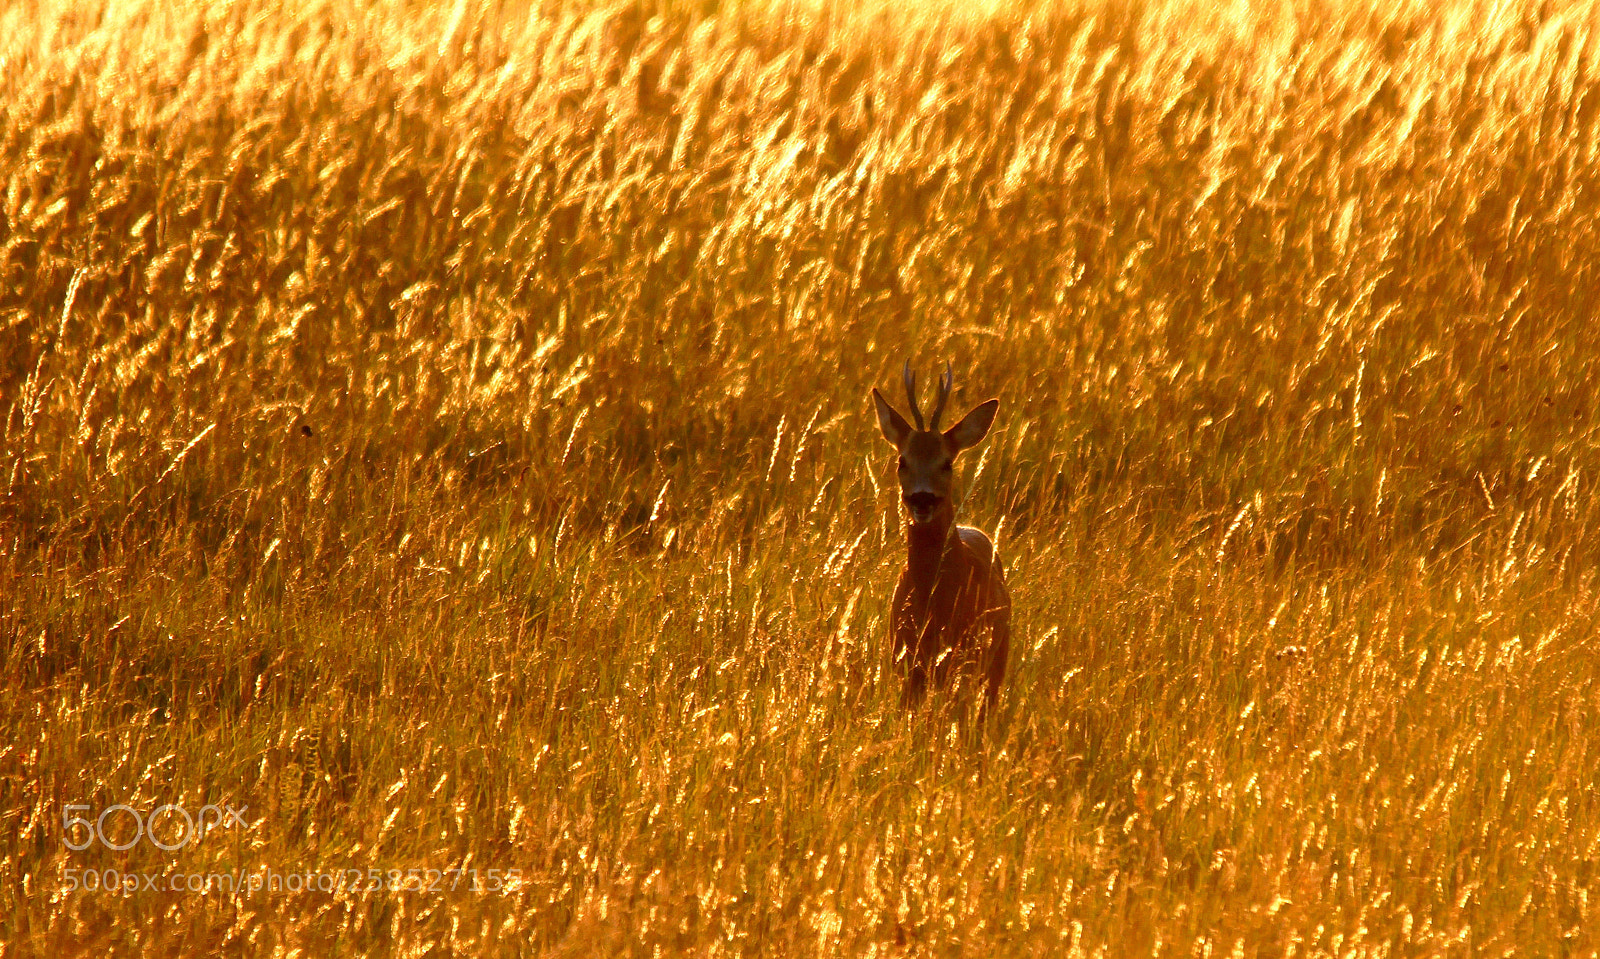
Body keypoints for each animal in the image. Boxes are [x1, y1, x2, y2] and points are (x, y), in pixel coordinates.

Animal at [871, 362, 1010, 716]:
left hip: (995, 656)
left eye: (947, 462)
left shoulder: (962, 657)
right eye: (902, 460)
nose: (922, 499)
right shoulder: (905, 660)